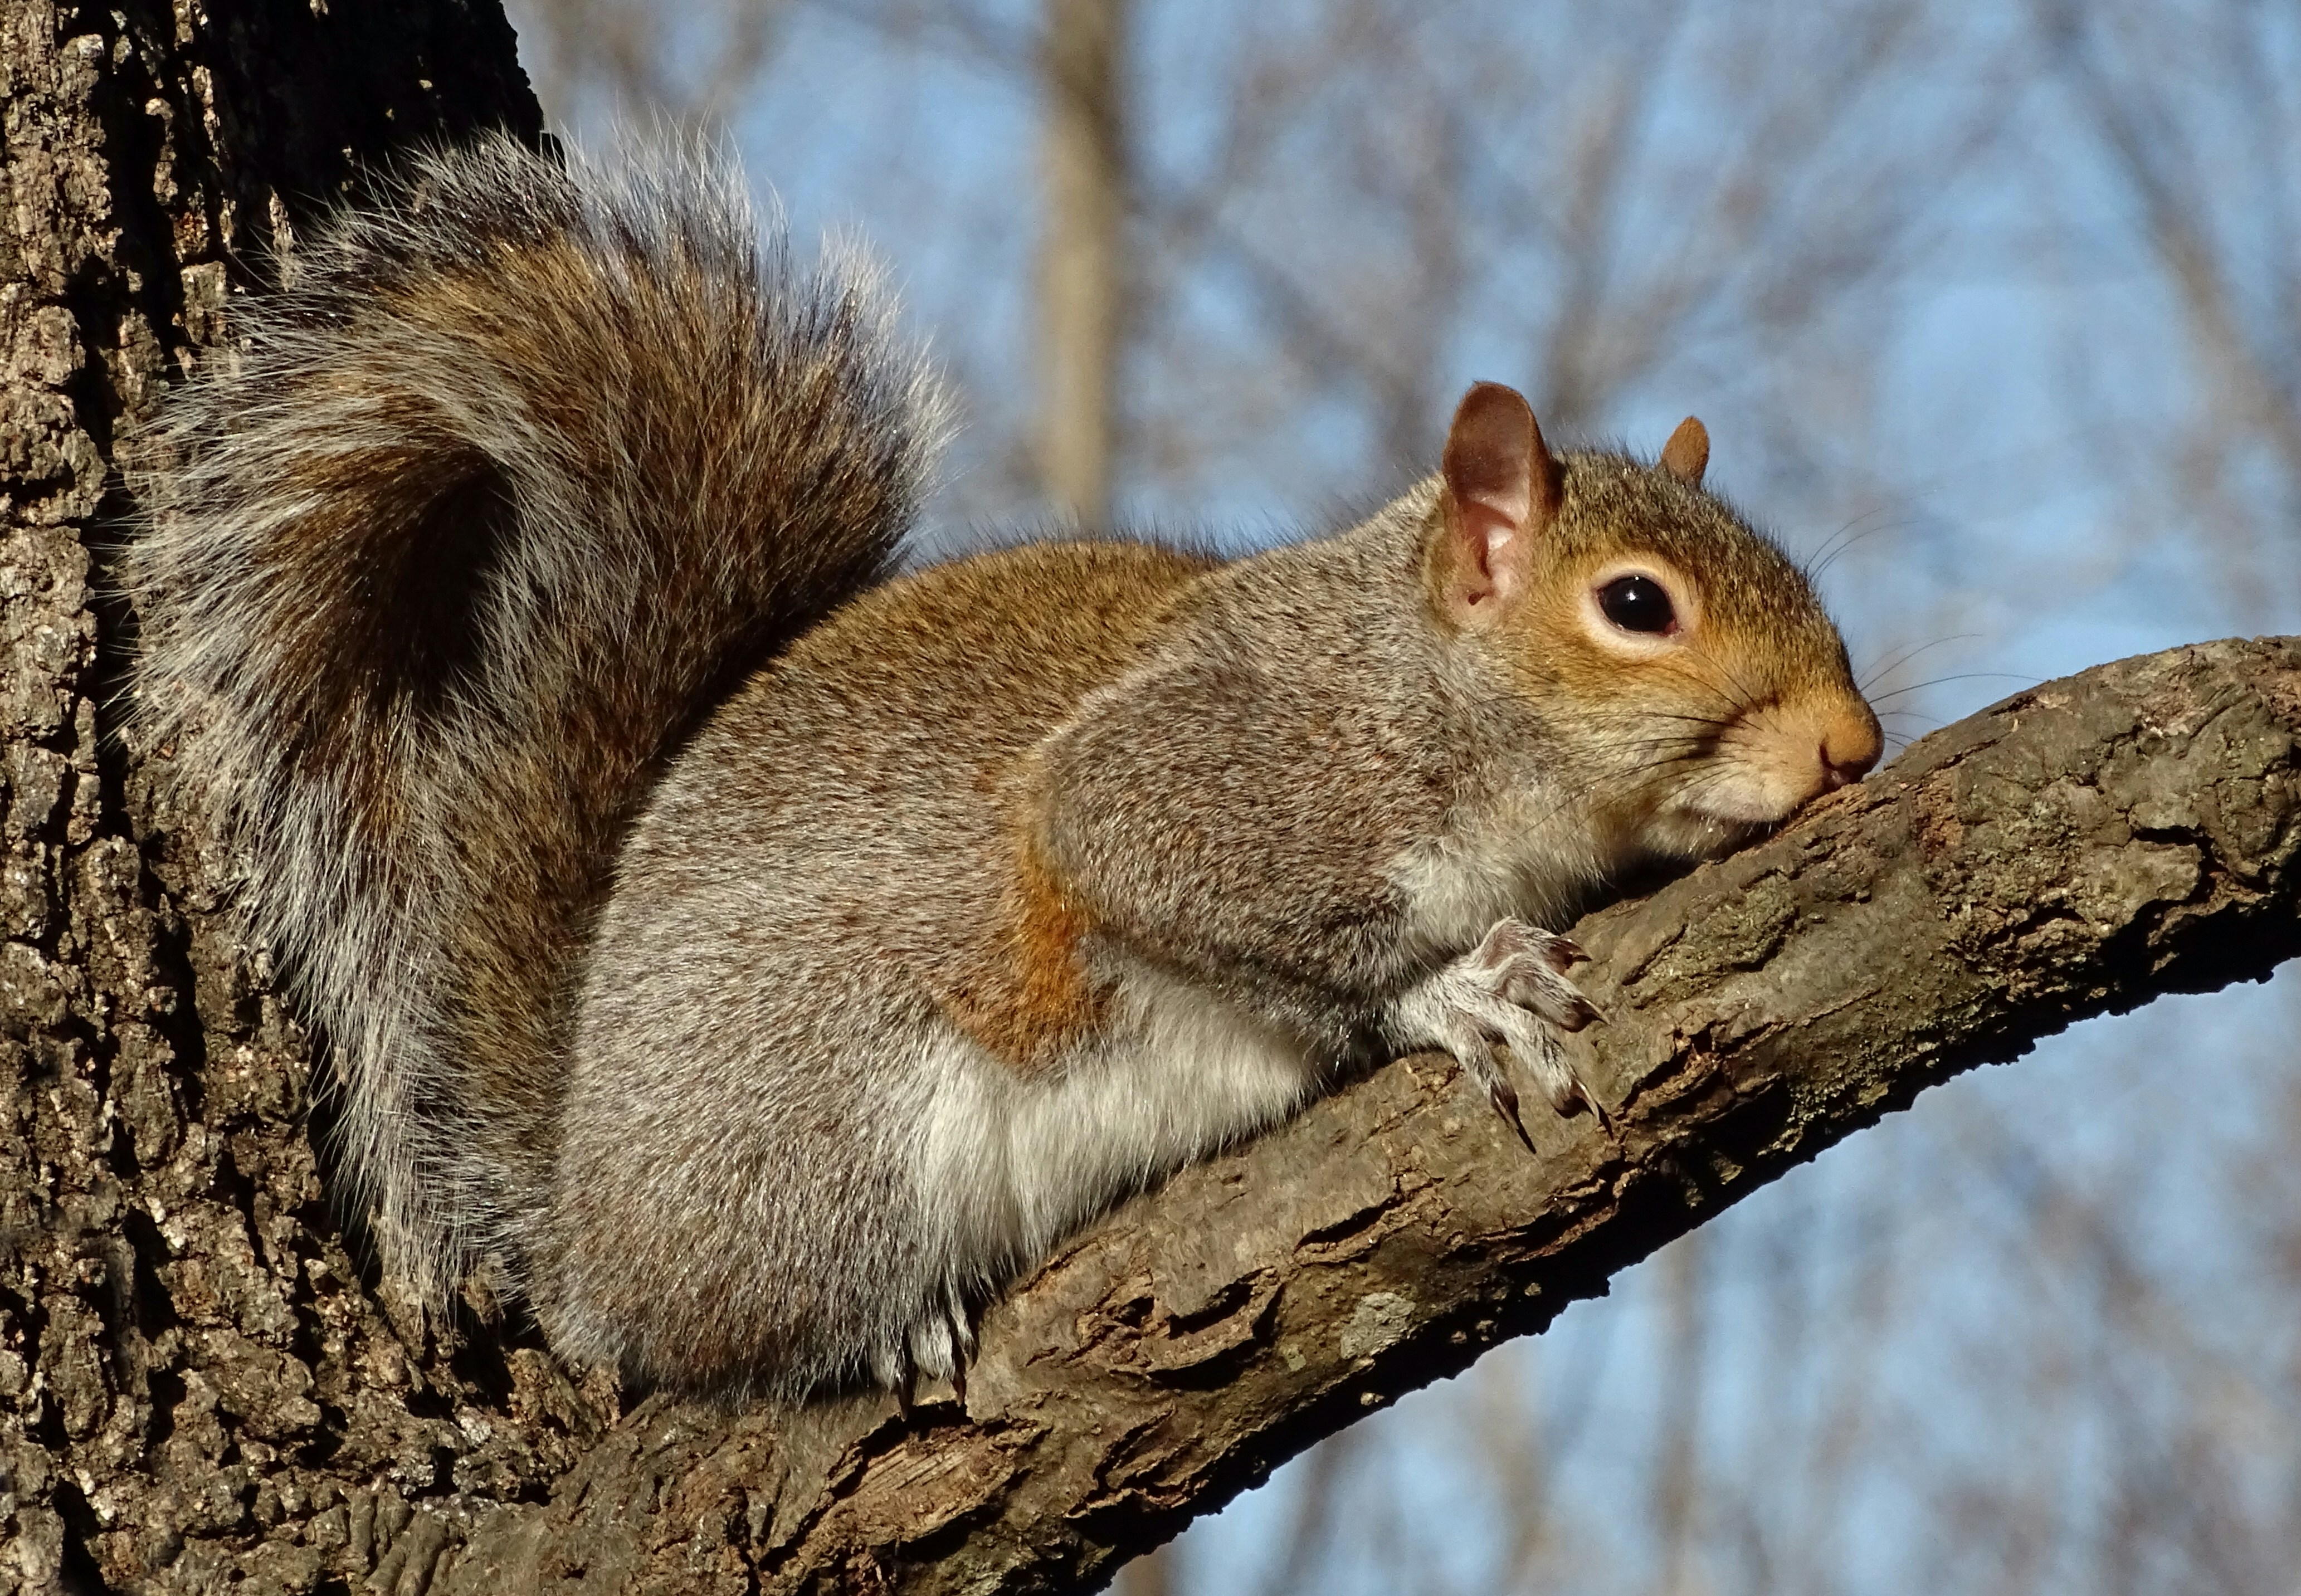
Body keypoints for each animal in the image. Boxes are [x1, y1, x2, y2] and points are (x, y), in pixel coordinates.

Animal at [130, 136, 1882, 1404]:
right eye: (1637, 607)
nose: (1852, 746)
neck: (1421, 682)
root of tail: (581, 1224)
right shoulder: (1217, 774)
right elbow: (1197, 888)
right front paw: (1460, 989)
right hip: (827, 1139)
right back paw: (867, 1328)